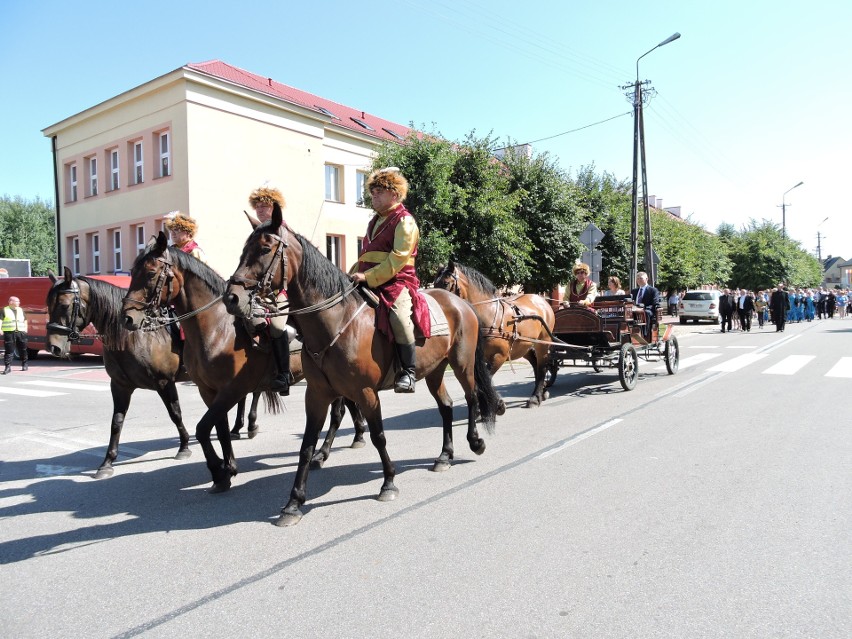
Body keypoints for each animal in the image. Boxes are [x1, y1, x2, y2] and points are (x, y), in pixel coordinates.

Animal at [121, 238, 364, 492]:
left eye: (150, 273)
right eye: (132, 272)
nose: (127, 317)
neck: (217, 328)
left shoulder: (232, 390)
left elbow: (203, 428)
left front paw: (219, 472)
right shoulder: (209, 391)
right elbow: (220, 430)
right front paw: (229, 468)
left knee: (338, 413)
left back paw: (325, 452)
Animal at [223, 204, 502, 524]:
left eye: (265, 248)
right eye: (244, 248)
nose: (232, 297)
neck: (337, 321)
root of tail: (461, 303)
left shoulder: (366, 393)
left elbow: (379, 436)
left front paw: (389, 483)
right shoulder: (316, 395)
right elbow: (306, 446)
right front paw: (293, 503)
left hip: (462, 365)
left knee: (471, 397)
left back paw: (475, 442)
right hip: (434, 371)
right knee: (445, 406)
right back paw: (445, 456)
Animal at [432, 262, 560, 408]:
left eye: (446, 283)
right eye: (434, 283)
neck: (489, 313)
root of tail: (542, 301)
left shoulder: (499, 356)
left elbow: (486, 380)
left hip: (542, 342)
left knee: (542, 366)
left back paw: (535, 397)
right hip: (522, 345)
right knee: (535, 363)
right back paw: (542, 391)